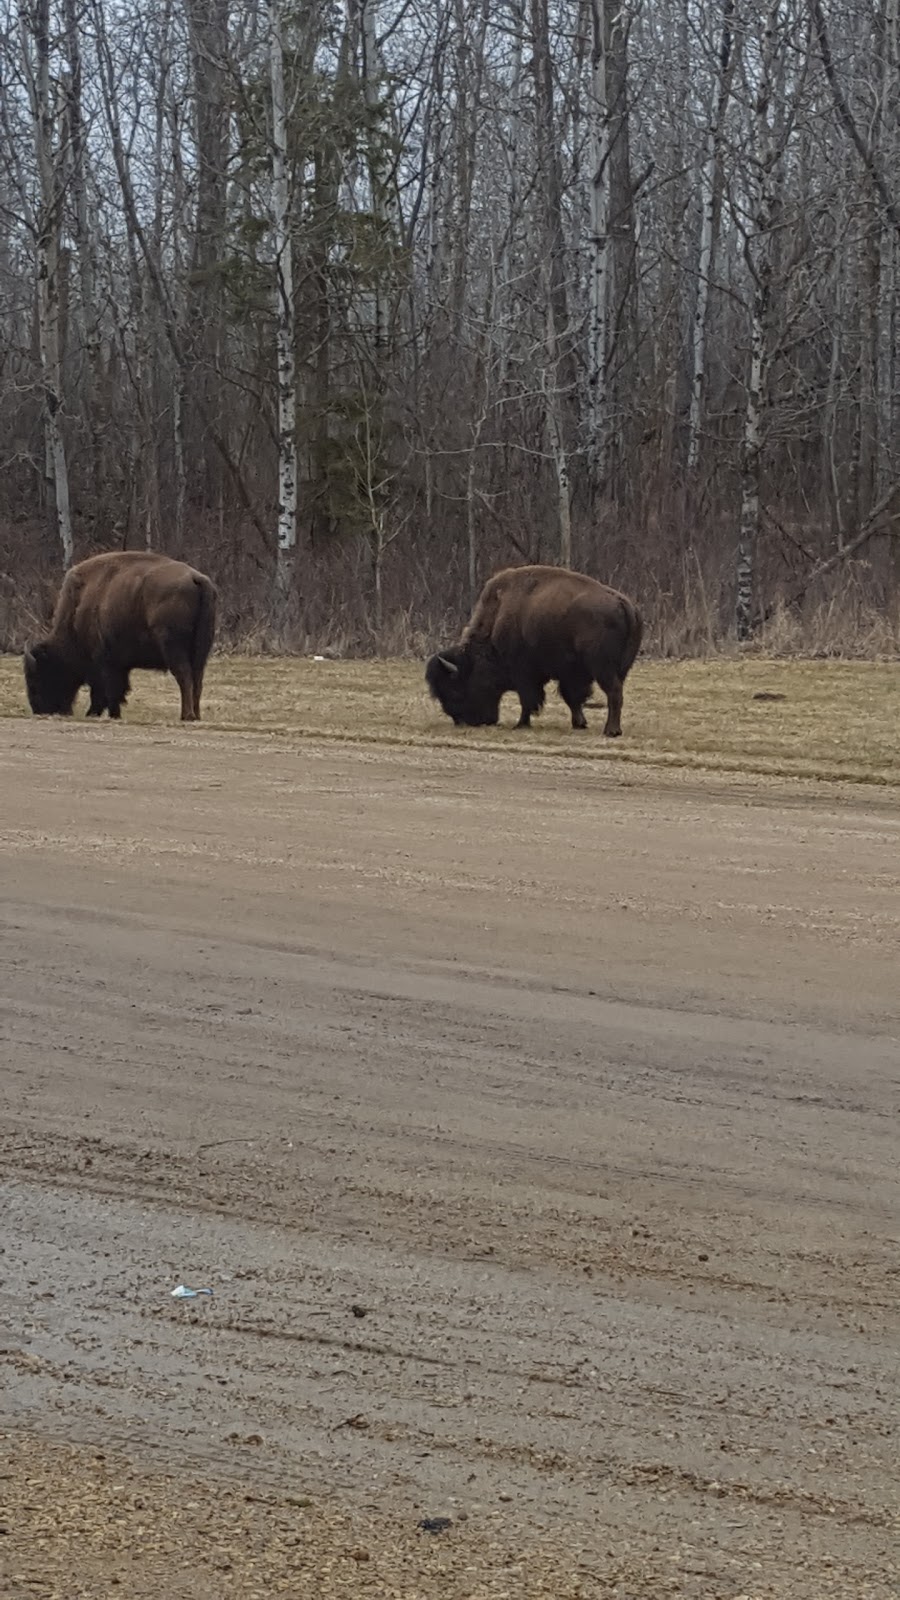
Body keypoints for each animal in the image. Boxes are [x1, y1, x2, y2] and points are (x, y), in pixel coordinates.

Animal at [23, 550, 216, 726]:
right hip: (200, 652)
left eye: (37, 678)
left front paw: (104, 714)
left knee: (184, 676)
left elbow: (105, 690)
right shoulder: (118, 665)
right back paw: (196, 715)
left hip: (173, 648)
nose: (40, 710)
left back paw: (187, 716)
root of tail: (197, 578)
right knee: (197, 679)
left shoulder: (104, 662)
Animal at [425, 563, 640, 736]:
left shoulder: (525, 674)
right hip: (618, 669)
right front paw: (579, 723)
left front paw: (521, 724)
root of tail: (623, 603)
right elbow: (572, 698)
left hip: (603, 668)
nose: (462, 721)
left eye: (455, 690)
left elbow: (528, 700)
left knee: (614, 693)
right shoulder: (569, 674)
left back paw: (611, 731)